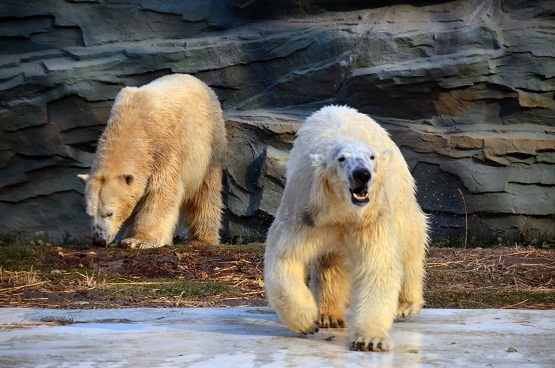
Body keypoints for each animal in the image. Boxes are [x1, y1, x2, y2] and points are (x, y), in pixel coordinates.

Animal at [77, 73, 227, 249]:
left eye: (109, 213)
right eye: (89, 213)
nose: (99, 240)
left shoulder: (163, 148)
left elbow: (160, 192)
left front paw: (138, 240)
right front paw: (125, 237)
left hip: (209, 142)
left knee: (206, 191)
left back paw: (202, 238)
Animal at [264, 105, 430, 352]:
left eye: (371, 157)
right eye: (341, 159)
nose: (362, 174)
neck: (343, 212)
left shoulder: (372, 220)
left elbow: (376, 267)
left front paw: (370, 340)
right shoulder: (306, 214)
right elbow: (285, 259)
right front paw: (308, 321)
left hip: (398, 188)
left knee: (409, 240)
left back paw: (405, 304)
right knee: (329, 263)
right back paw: (328, 315)